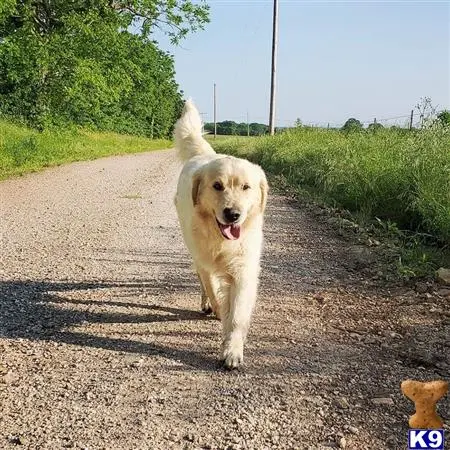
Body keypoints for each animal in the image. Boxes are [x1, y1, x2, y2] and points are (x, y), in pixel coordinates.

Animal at [174, 99, 268, 370]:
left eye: (246, 187)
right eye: (217, 186)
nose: (233, 214)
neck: (221, 240)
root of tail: (204, 155)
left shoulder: (243, 269)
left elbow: (237, 315)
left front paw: (232, 350)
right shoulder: (205, 261)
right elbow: (213, 289)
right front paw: (216, 309)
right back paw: (206, 304)